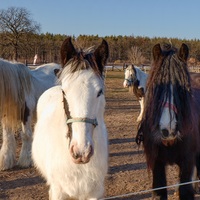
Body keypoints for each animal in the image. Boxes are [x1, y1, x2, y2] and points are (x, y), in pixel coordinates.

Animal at [137, 43, 200, 200]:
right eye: (156, 86)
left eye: (183, 88)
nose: (168, 130)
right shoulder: (157, 164)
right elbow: (159, 192)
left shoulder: (187, 161)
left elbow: (185, 191)